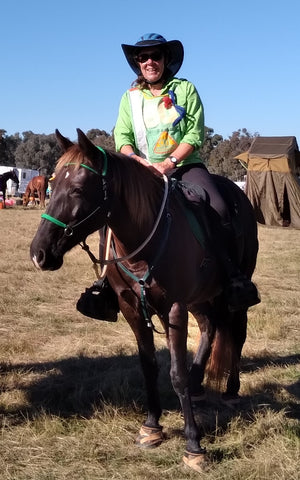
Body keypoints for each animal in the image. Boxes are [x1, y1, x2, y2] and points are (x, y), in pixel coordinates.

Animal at [29, 129, 260, 474]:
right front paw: (152, 427)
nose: (38, 253)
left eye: (78, 189)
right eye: (52, 186)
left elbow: (175, 374)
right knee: (209, 328)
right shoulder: (132, 309)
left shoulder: (174, 309)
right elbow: (149, 367)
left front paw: (194, 445)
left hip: (234, 293)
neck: (143, 242)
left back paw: (231, 390)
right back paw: (198, 386)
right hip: (200, 299)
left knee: (236, 333)